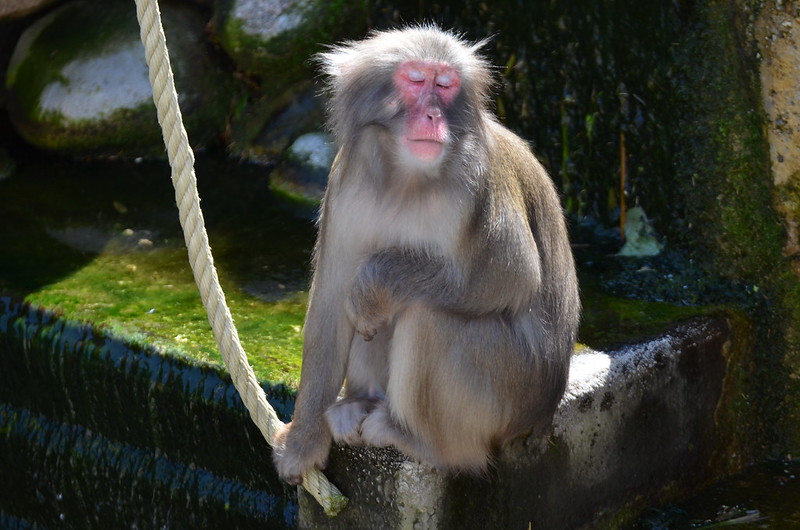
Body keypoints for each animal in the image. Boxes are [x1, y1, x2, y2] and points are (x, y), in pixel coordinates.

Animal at [272, 26, 580, 484]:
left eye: (445, 84)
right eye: (416, 80)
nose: (434, 116)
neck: (407, 177)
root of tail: (541, 418)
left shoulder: (476, 178)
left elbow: (511, 275)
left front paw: (377, 283)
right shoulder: (346, 182)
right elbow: (330, 305)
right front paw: (303, 442)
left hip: (511, 388)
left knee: (426, 318)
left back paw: (421, 441)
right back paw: (361, 404)